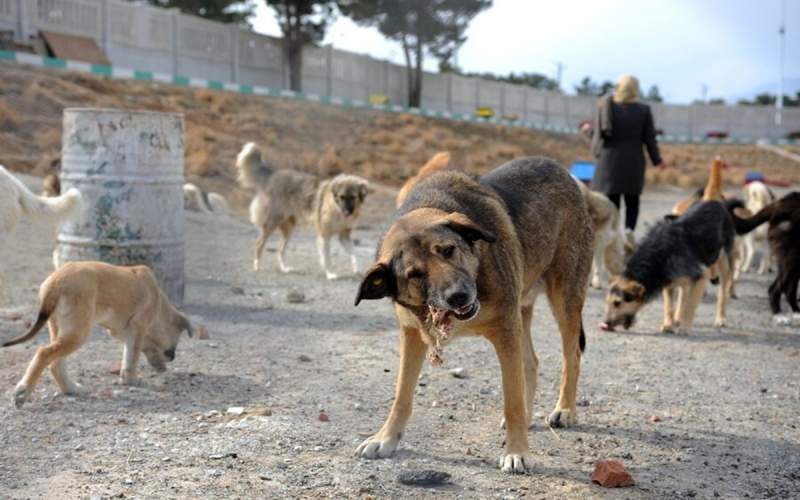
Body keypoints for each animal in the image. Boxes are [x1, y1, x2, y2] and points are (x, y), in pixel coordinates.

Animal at [1, 260, 193, 408]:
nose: (172, 358)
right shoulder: (138, 328)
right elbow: (132, 357)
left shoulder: (125, 333)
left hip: (60, 329)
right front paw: (131, 380)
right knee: (44, 353)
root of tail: (56, 282)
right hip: (78, 332)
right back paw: (23, 391)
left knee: (55, 363)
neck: (159, 303)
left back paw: (71, 389)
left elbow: (128, 354)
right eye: (173, 347)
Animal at [236, 143, 370, 280]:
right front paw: (330, 274)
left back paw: (284, 269)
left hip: (289, 228)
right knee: (259, 244)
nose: (347, 211)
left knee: (280, 250)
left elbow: (354, 255)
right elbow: (327, 258)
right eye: (342, 197)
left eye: (353, 197)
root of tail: (273, 175)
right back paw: (257, 266)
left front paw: (357, 270)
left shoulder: (344, 236)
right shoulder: (325, 235)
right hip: (272, 223)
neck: (336, 208)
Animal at [354, 156, 592, 472]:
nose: (459, 296)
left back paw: (564, 410)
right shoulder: (412, 335)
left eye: (448, 250)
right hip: (522, 310)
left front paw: (517, 451)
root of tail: (559, 168)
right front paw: (386, 438)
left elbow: (512, 401)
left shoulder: (505, 331)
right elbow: (401, 396)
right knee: (531, 361)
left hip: (564, 299)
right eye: (415, 274)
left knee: (571, 356)